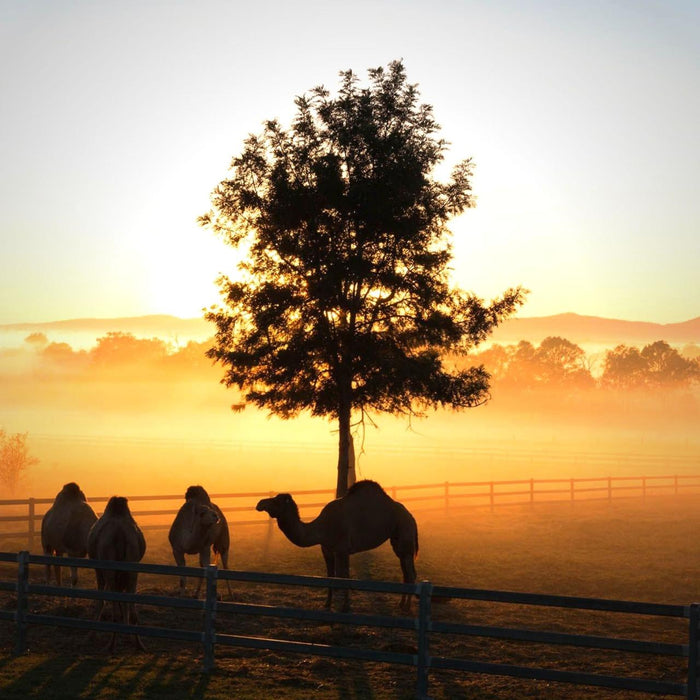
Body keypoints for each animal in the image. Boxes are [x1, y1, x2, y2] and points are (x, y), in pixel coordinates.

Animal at [87, 494, 148, 652]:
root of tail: (121, 534)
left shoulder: (99, 570)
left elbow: (101, 601)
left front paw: (92, 635)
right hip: (132, 568)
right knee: (132, 610)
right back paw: (139, 644)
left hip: (110, 569)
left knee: (114, 610)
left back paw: (110, 645)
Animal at [258, 482, 418, 612]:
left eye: (277, 501)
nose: (260, 503)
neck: (323, 527)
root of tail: (411, 516)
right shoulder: (327, 549)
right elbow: (330, 576)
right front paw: (327, 604)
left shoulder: (342, 549)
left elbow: (343, 576)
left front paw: (345, 607)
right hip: (397, 543)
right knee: (405, 571)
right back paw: (401, 604)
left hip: (405, 535)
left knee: (410, 573)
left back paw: (407, 606)